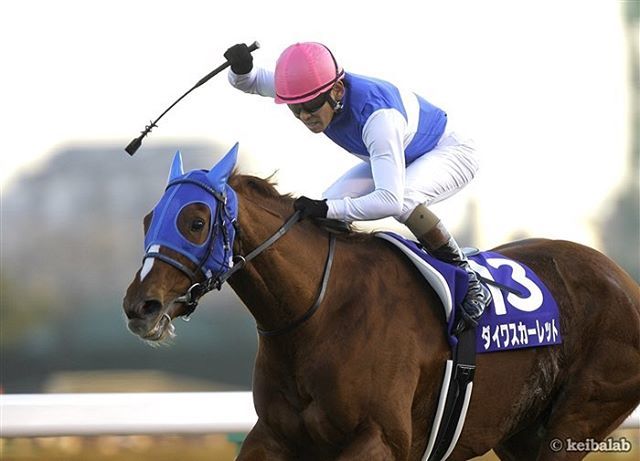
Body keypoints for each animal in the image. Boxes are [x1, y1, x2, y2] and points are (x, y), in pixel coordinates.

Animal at [122, 144, 640, 461]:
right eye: (148, 219)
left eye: (195, 221)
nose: (139, 306)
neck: (317, 315)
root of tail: (622, 279)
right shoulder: (272, 435)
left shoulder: (383, 440)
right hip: (519, 431)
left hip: (579, 417)